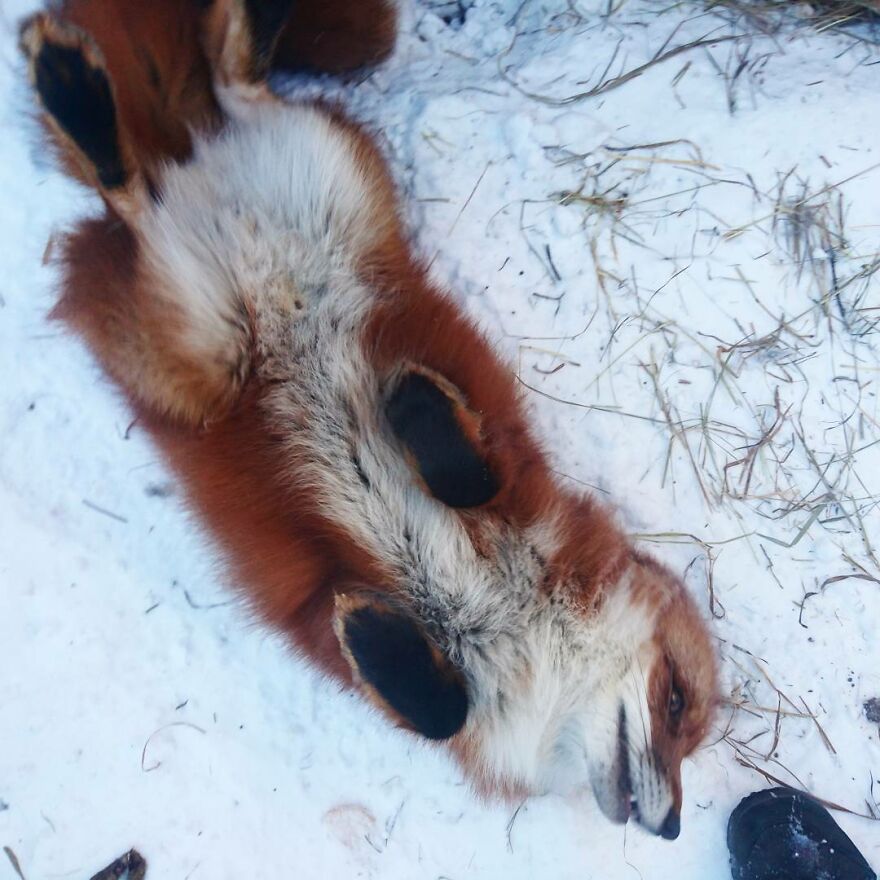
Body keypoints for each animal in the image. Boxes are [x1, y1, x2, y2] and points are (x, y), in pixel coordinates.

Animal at [20, 0, 718, 841]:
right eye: (676, 704)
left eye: (687, 728)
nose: (673, 827)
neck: (522, 626)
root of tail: (190, 176)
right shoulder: (518, 482)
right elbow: (465, 474)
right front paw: (415, 411)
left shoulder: (376, 644)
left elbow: (437, 708)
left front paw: (382, 645)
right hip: (222, 341)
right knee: (176, 151)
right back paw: (93, 83)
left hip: (233, 294)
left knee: (206, 113)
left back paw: (129, 76)